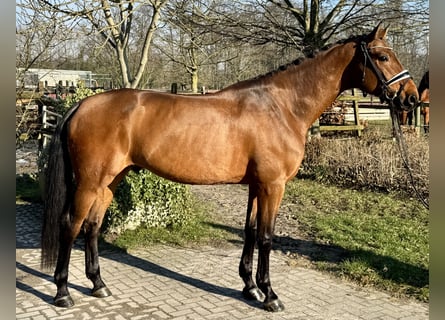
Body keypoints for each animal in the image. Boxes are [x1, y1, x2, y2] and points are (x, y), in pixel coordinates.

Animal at [40, 23, 418, 312]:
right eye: (382, 56)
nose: (412, 97)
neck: (282, 106)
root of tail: (81, 106)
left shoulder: (256, 185)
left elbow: (250, 232)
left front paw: (250, 287)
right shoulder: (273, 185)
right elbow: (267, 237)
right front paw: (270, 296)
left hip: (110, 181)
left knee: (91, 227)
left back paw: (99, 285)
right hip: (90, 181)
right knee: (71, 225)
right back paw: (63, 293)